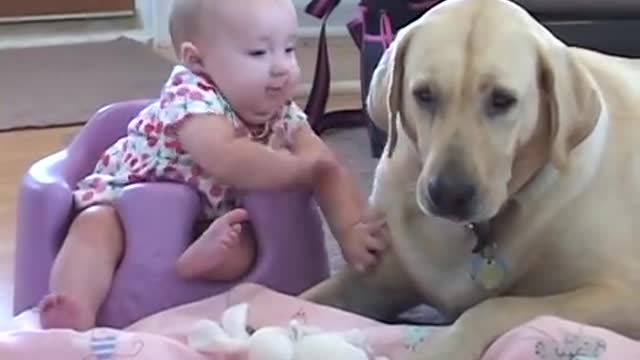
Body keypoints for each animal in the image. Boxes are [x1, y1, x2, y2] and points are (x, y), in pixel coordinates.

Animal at [302, 0, 640, 358]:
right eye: (424, 95)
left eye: (502, 100)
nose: (448, 194)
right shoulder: (372, 279)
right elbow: (306, 296)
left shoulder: (622, 294)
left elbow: (493, 308)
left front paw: (443, 347)